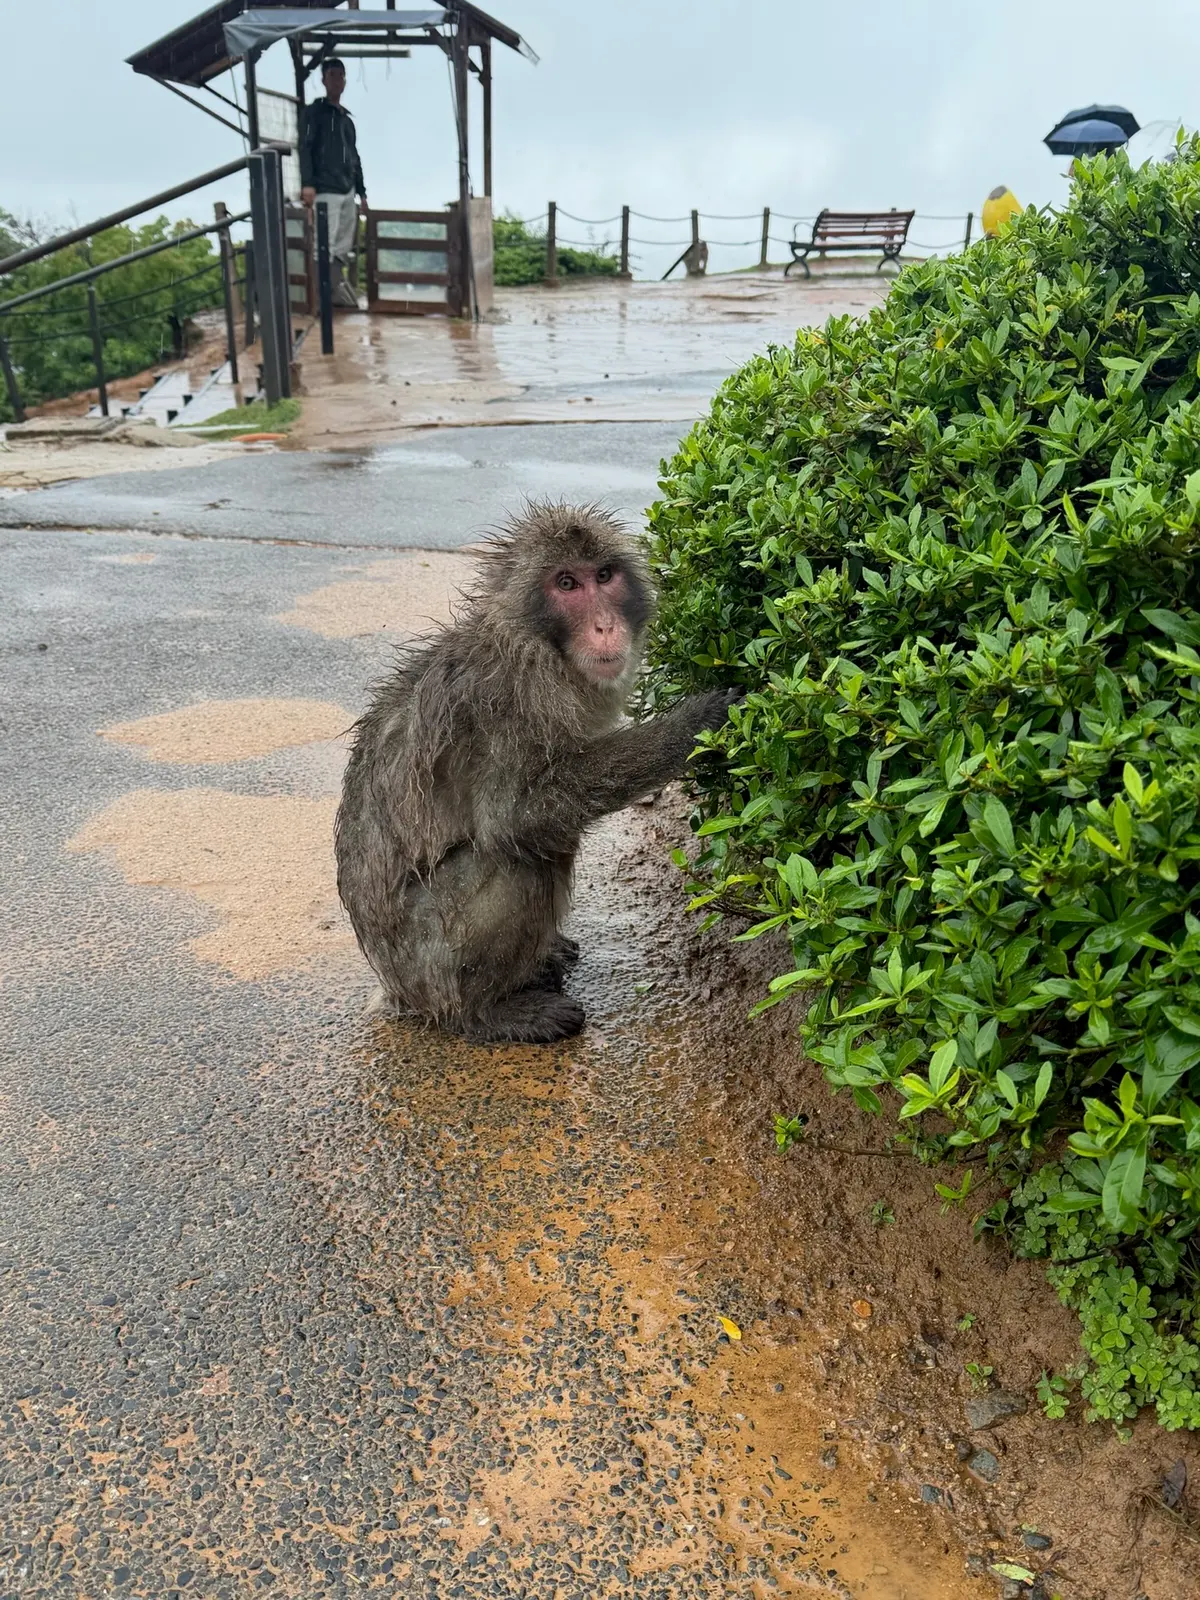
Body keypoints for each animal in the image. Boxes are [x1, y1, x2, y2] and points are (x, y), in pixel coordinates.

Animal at [334, 502, 736, 1044]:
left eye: (603, 576)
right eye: (566, 584)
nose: (605, 626)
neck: (536, 645)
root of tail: (395, 988)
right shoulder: (512, 705)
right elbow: (509, 819)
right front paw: (691, 726)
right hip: (429, 963)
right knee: (520, 858)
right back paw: (485, 1014)